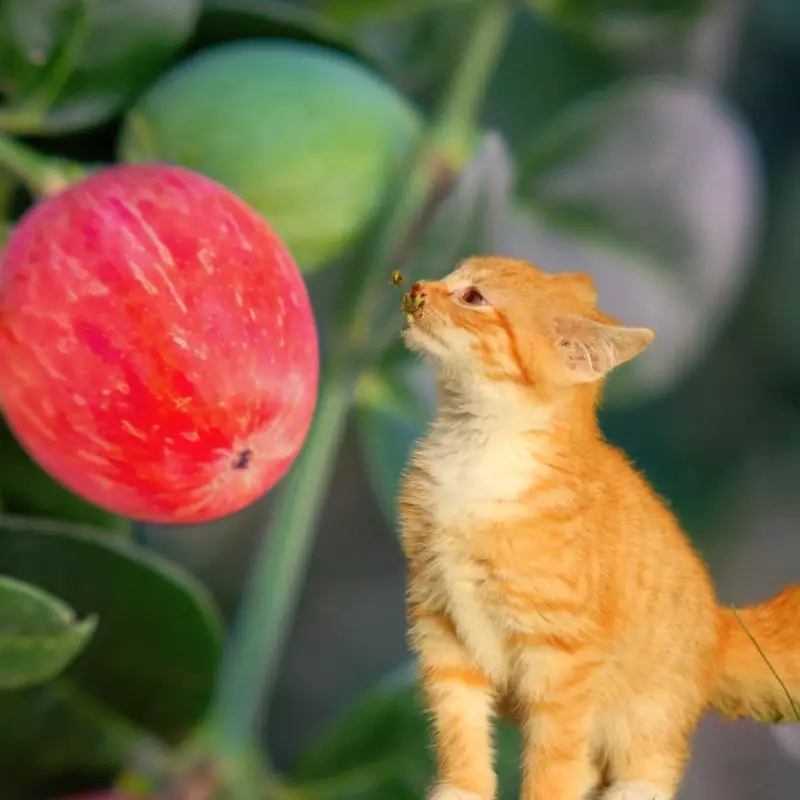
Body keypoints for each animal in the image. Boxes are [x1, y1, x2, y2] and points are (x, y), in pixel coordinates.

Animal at [398, 258, 800, 800]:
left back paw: (634, 789)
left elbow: (554, 760)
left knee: (654, 758)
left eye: (474, 298)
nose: (419, 287)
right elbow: (459, 724)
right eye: (450, 275)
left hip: (646, 707)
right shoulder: (440, 624)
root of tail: (720, 624)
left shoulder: (561, 657)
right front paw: (462, 790)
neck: (476, 452)